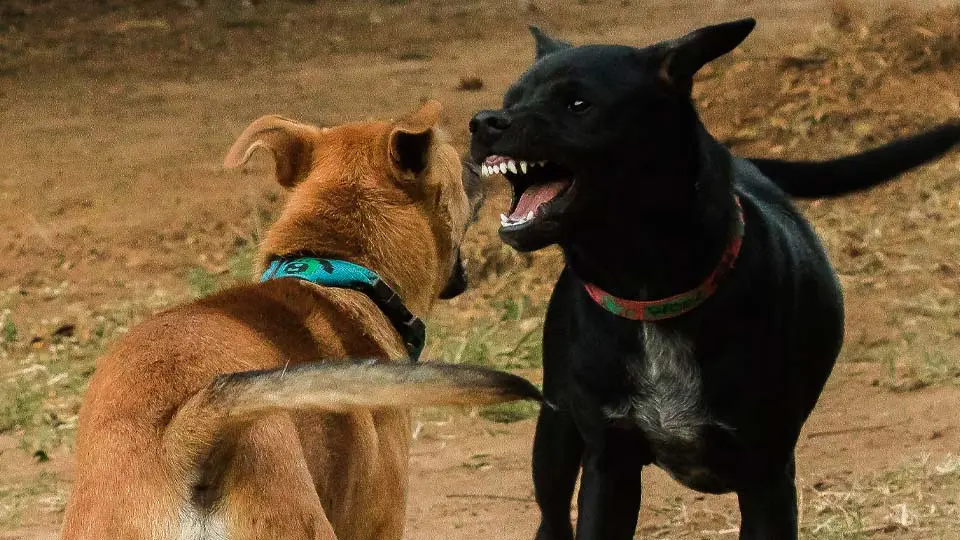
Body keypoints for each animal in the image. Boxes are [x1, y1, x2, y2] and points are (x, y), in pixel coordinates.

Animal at [466, 17, 960, 540]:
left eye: (578, 103)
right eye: (512, 98)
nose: (484, 121)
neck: (650, 295)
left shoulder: (767, 475)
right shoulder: (610, 464)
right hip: (555, 428)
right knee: (553, 514)